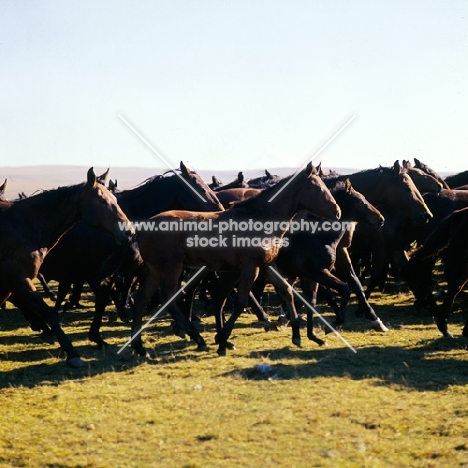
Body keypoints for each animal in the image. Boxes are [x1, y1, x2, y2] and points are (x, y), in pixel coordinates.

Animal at [0, 166, 134, 368]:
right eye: (102, 200)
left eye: (116, 199)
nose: (129, 232)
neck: (22, 227)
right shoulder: (19, 279)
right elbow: (50, 311)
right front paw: (72, 352)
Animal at [130, 163, 342, 356]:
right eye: (318, 188)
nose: (337, 211)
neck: (259, 220)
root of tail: (143, 228)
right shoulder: (250, 268)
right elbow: (241, 303)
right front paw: (223, 340)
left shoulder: (267, 266)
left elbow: (287, 291)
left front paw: (297, 333)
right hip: (173, 267)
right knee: (169, 299)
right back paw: (198, 339)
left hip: (157, 270)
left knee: (142, 299)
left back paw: (140, 347)